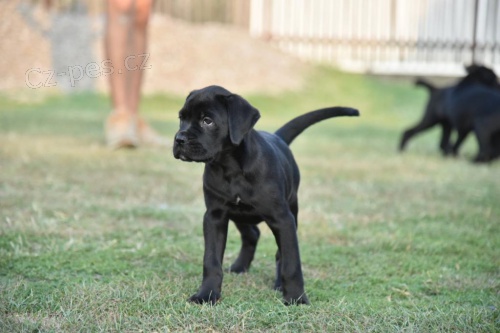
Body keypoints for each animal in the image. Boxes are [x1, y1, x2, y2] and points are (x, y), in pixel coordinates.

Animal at [173, 85, 360, 304]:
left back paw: (279, 284)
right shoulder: (215, 216)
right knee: (252, 234)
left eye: (207, 121)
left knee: (280, 253)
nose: (179, 139)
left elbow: (291, 262)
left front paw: (296, 298)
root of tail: (278, 137)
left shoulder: (282, 219)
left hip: (292, 209)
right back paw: (240, 267)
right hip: (239, 214)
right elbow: (211, 260)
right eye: (181, 118)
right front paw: (207, 294)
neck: (231, 167)